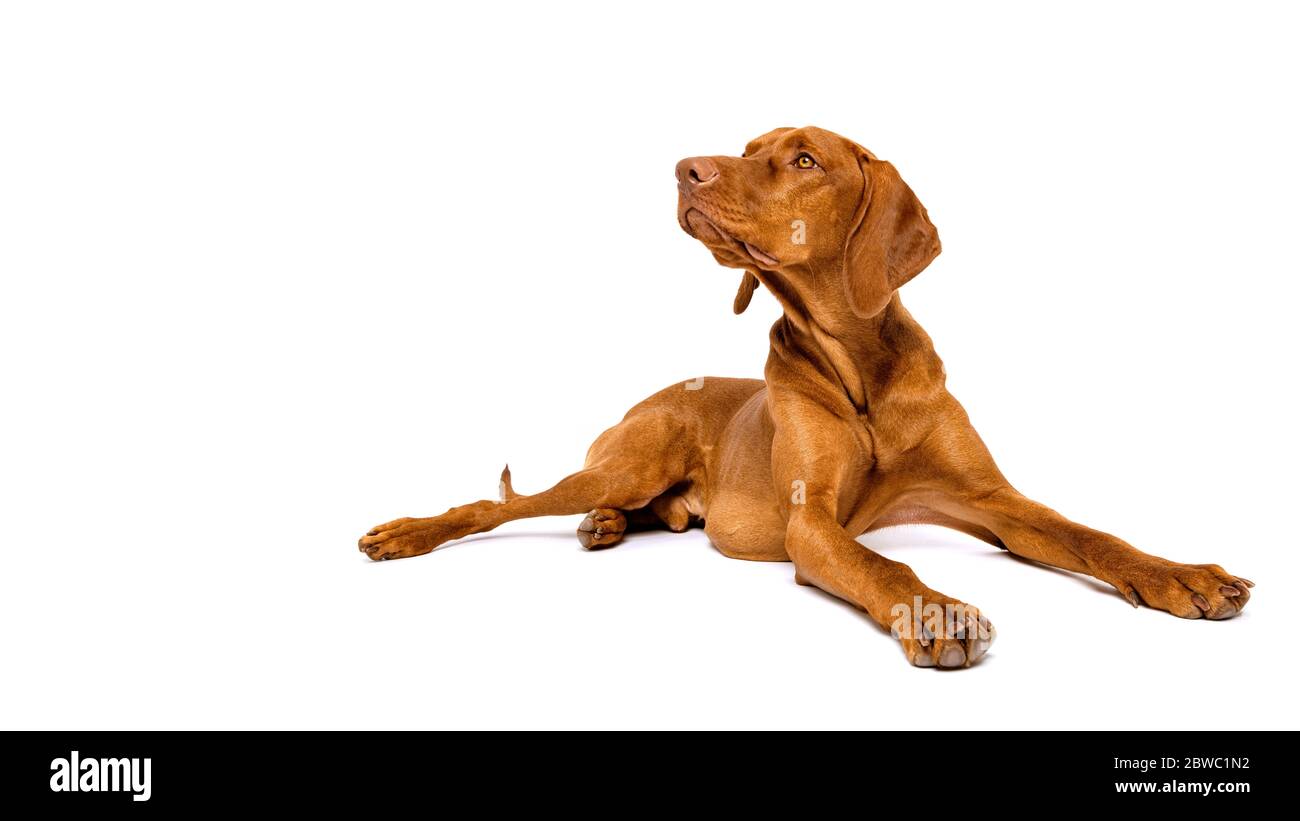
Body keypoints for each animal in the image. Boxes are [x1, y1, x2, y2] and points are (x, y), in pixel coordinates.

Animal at [361, 126, 1253, 665]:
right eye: (747, 149)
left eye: (802, 160)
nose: (684, 168)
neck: (862, 374)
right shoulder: (812, 520)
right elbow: (879, 561)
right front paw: (935, 611)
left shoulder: (994, 502)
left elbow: (1092, 535)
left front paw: (1184, 575)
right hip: (624, 461)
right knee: (498, 505)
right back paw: (412, 531)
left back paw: (607, 526)